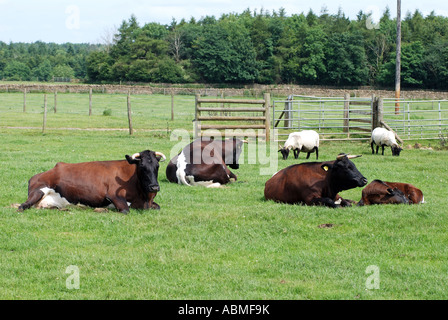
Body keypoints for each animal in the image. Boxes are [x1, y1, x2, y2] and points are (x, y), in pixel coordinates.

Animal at [18, 151, 166, 215]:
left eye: (157, 166)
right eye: (142, 166)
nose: (154, 186)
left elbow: (158, 207)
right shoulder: (114, 195)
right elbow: (125, 210)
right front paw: (102, 209)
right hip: (38, 191)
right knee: (22, 206)